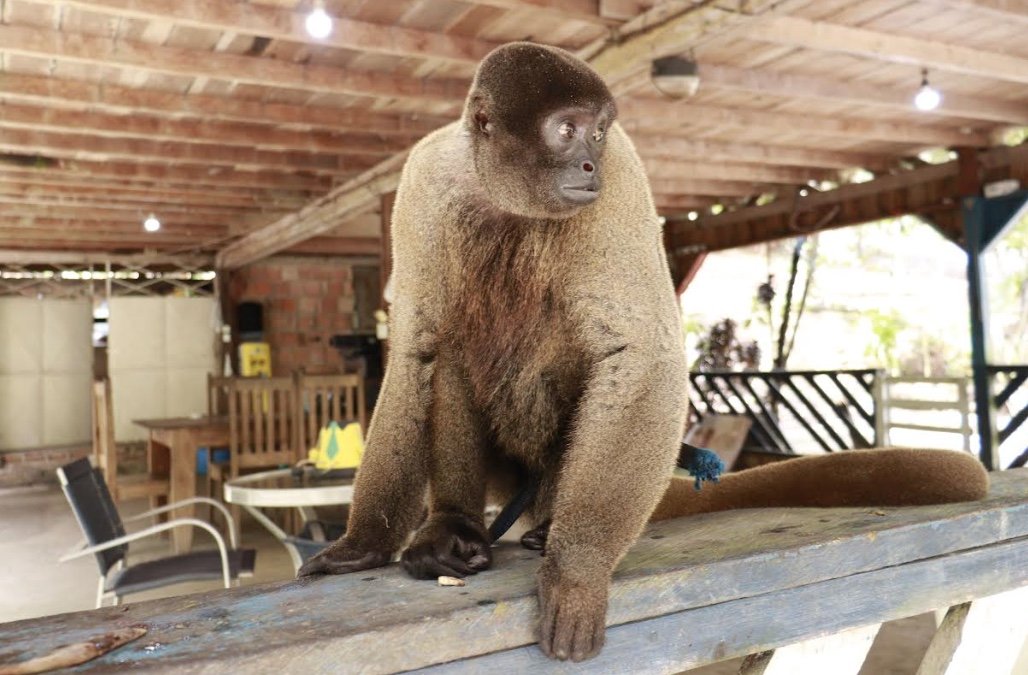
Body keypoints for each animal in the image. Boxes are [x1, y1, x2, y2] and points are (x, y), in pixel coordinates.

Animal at [298, 42, 989, 663]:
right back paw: (454, 530)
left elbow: (640, 353)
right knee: (453, 350)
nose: (588, 166)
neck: (498, 192)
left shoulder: (623, 175)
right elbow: (416, 348)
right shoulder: (423, 184)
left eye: (599, 134)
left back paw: (549, 531)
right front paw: (364, 542)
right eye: (566, 130)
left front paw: (577, 570)